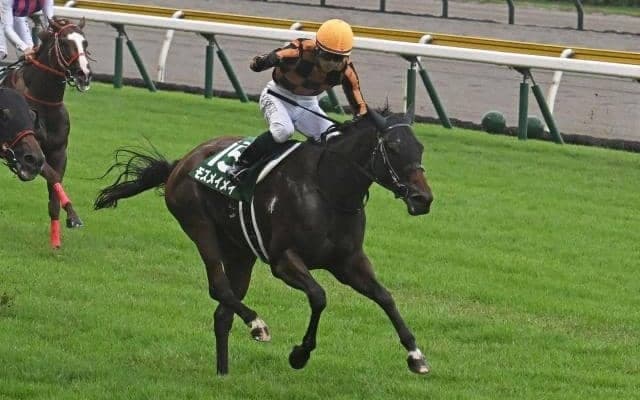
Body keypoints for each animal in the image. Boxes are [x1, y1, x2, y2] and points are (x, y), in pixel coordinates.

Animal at [2, 17, 92, 248]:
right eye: (65, 43)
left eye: (85, 42)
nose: (84, 75)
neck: (44, 103)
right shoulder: (30, 153)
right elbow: (52, 176)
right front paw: (73, 215)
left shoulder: (59, 151)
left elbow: (55, 188)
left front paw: (58, 237)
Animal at [94, 107, 434, 375]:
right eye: (392, 147)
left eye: (419, 147)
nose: (423, 198)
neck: (328, 189)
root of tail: (181, 162)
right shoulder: (283, 261)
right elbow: (319, 296)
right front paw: (300, 354)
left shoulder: (349, 262)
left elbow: (385, 297)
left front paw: (415, 356)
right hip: (199, 226)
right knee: (219, 288)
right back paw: (257, 324)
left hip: (240, 252)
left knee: (223, 311)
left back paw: (223, 374)